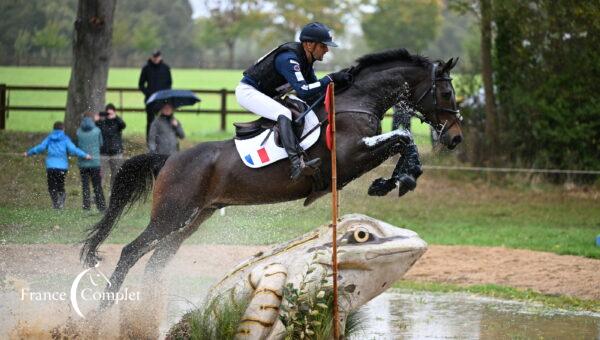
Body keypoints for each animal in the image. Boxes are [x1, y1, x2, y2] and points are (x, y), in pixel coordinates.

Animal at [81, 48, 464, 310]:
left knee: (156, 261)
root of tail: (170, 158)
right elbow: (403, 137)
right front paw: (401, 179)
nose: (456, 137)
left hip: (192, 219)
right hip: (170, 215)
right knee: (130, 252)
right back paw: (104, 309)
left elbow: (402, 140)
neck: (357, 102)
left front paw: (396, 180)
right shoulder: (351, 157)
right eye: (446, 93)